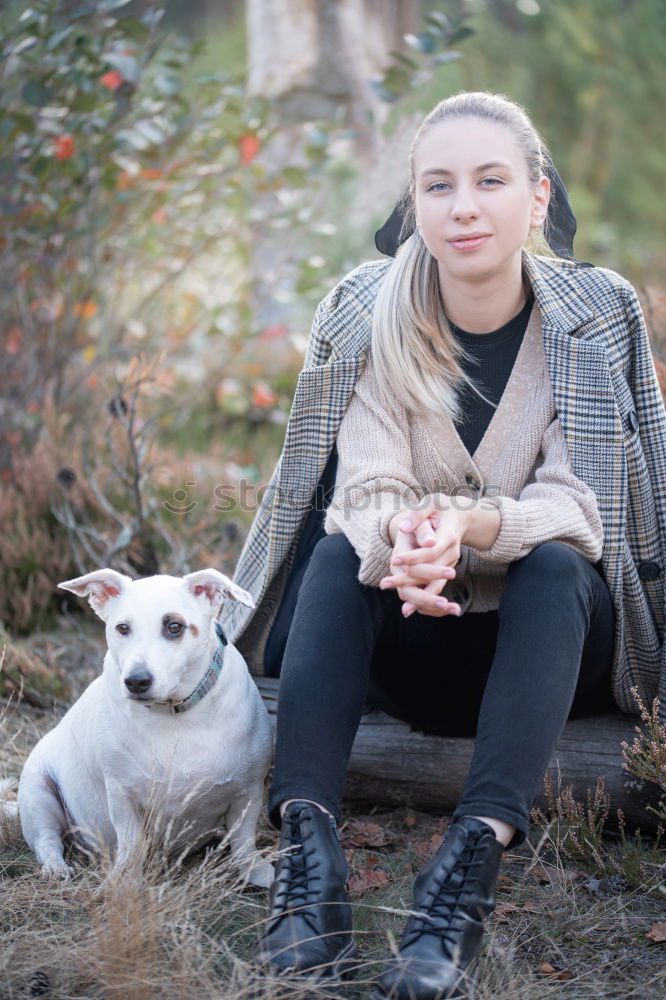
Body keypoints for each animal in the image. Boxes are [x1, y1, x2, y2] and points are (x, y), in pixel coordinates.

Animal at [17, 568, 272, 888]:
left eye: (175, 626)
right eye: (122, 628)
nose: (136, 681)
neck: (174, 715)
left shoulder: (248, 791)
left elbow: (244, 839)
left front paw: (256, 871)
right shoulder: (123, 796)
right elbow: (132, 842)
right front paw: (123, 881)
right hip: (37, 792)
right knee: (47, 840)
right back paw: (56, 867)